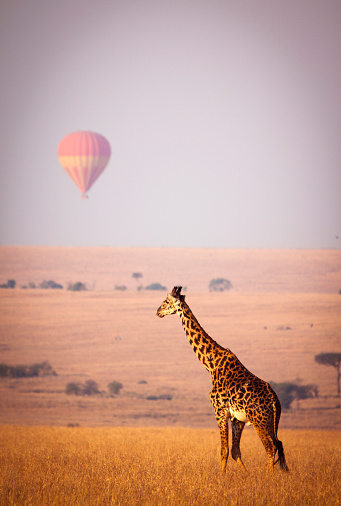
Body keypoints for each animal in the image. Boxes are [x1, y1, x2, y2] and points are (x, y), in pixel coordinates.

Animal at [156, 286, 286, 472]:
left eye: (166, 301)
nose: (158, 311)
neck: (211, 364)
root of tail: (274, 400)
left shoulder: (219, 410)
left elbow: (223, 450)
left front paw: (221, 477)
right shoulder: (237, 418)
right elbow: (235, 451)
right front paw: (245, 475)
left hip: (258, 420)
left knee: (270, 446)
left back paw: (270, 476)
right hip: (271, 421)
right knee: (279, 443)